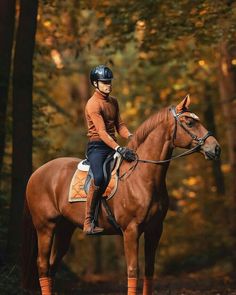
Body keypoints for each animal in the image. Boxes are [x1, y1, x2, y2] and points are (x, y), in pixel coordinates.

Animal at [22, 96, 221, 294]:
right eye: (190, 122)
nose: (216, 148)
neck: (142, 176)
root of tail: (35, 174)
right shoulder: (131, 230)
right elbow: (133, 271)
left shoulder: (155, 229)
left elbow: (149, 270)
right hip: (45, 227)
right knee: (43, 265)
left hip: (65, 228)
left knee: (52, 265)